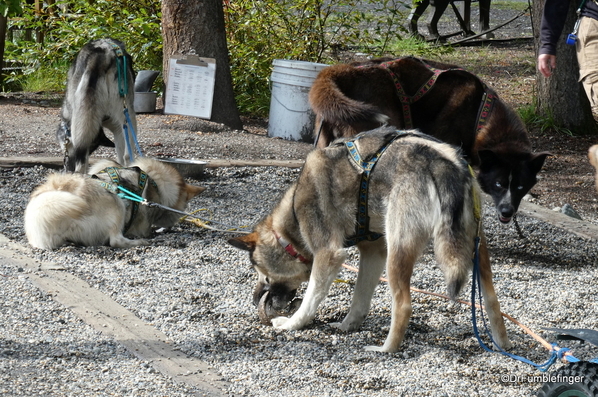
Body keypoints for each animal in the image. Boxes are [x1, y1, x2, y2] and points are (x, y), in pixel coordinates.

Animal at [56, 38, 138, 172]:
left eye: (92, 150)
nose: (68, 167)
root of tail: (106, 53)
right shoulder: (117, 129)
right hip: (127, 118)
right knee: (127, 156)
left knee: (81, 166)